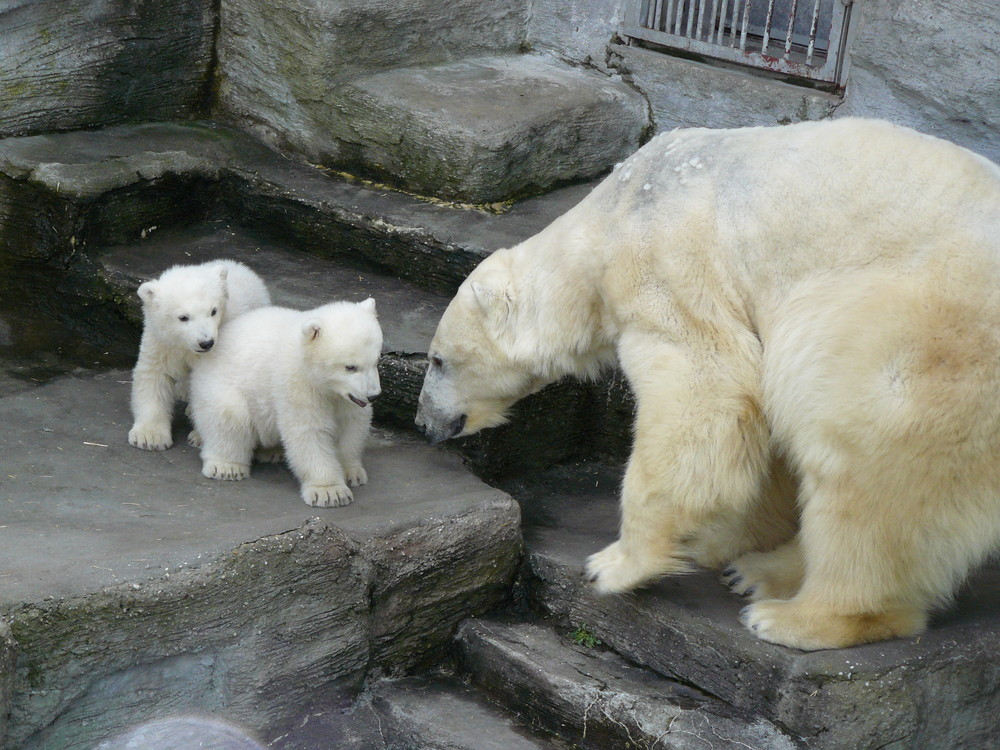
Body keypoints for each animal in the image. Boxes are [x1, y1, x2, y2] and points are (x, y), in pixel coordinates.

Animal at [412, 119, 1000, 652]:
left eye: (437, 361)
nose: (422, 423)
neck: (620, 206)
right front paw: (722, 540)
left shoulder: (665, 264)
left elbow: (705, 386)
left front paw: (617, 564)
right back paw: (759, 571)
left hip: (924, 329)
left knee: (865, 456)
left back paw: (798, 617)